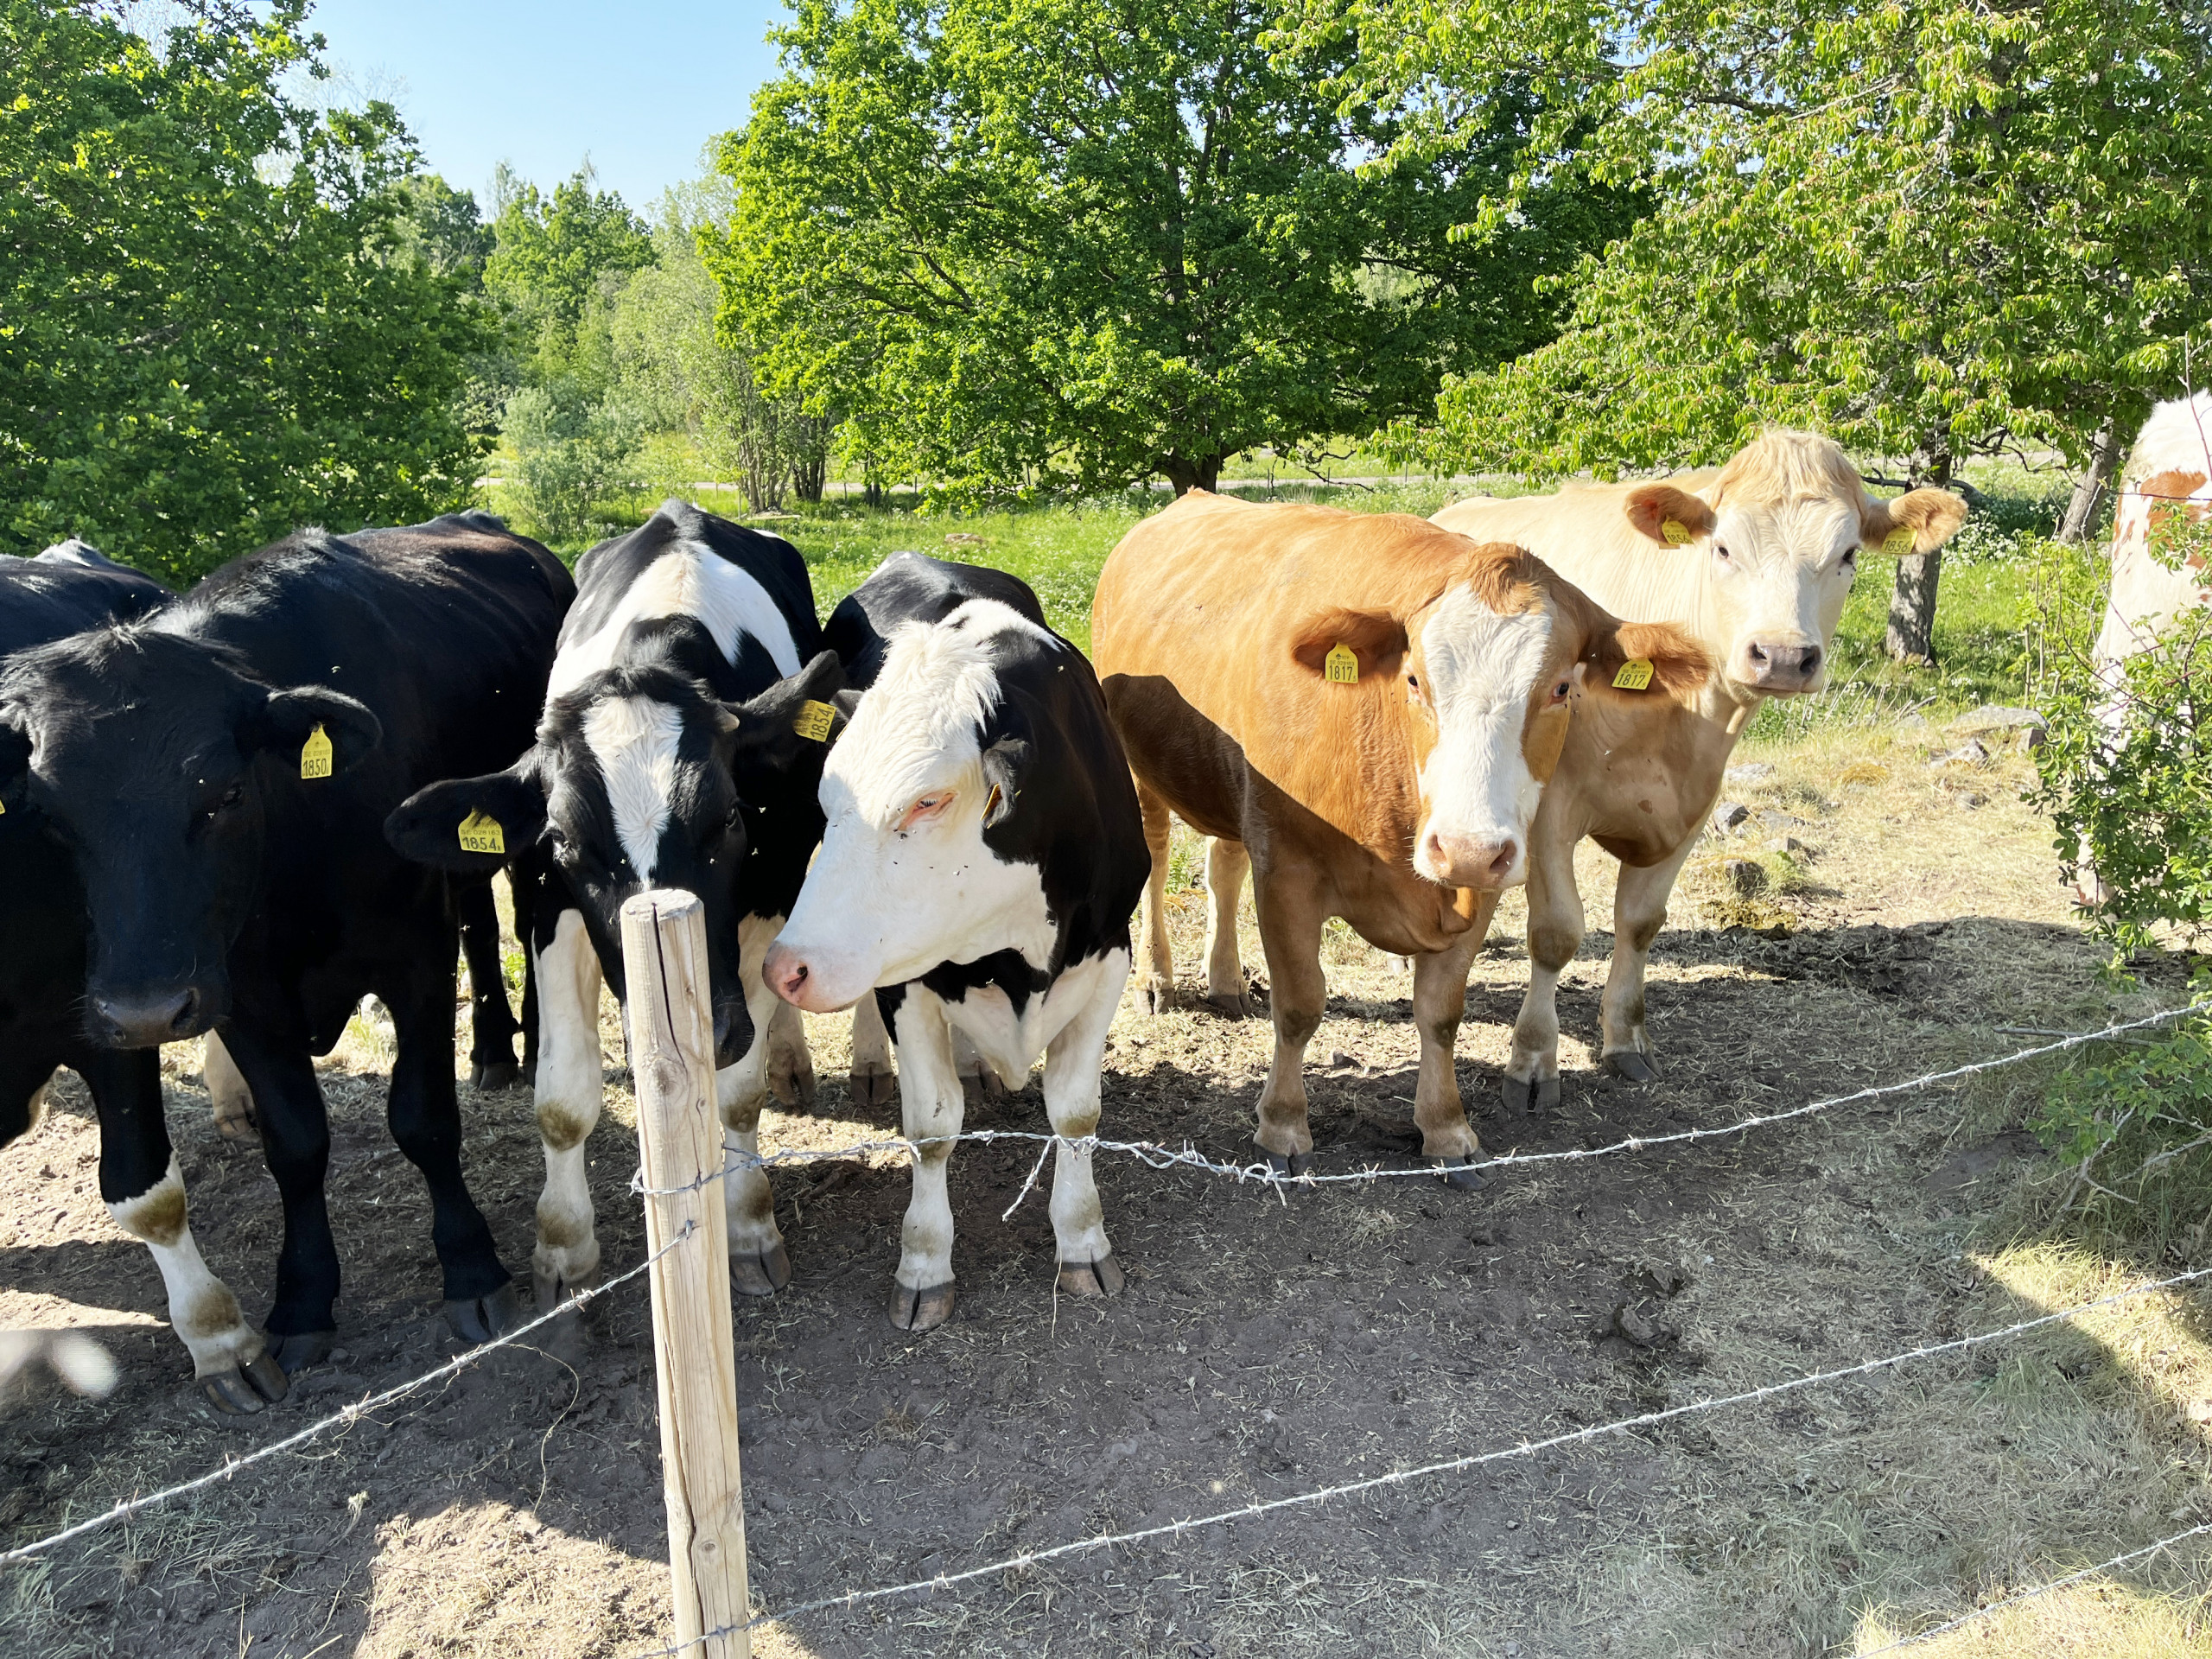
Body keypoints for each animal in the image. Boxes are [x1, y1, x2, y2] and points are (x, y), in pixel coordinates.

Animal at [0, 513, 573, 1413]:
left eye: (225, 794)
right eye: (51, 818)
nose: (141, 1013)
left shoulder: (414, 952)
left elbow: (423, 1120)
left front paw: (472, 1269)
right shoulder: (244, 994)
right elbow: (296, 1144)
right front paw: (302, 1301)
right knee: (483, 925)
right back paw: (489, 1051)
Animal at [386, 500, 845, 1312]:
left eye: (730, 820)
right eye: (565, 841)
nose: (708, 1028)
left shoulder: (766, 898)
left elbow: (738, 1091)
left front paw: (748, 1226)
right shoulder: (550, 908)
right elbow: (564, 1101)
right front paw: (564, 1252)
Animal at [761, 554, 1148, 1331]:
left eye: (928, 801)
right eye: (828, 800)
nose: (787, 966)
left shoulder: (1108, 954)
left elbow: (1077, 1113)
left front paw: (1083, 1241)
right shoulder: (904, 984)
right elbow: (933, 1126)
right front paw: (924, 1264)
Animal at [1092, 489, 1709, 1182]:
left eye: (1561, 688)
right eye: (1414, 679)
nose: (1466, 847)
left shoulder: (1476, 888)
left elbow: (1441, 1014)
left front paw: (1445, 1127)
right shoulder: (1287, 867)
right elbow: (1300, 1004)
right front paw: (1281, 1126)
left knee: (1224, 864)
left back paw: (1225, 981)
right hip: (1137, 762)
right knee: (1158, 855)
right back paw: (1156, 978)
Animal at [1426, 433, 1967, 1104]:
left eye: (1847, 555)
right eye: (1724, 548)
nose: (1782, 655)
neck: (1679, 714)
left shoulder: (1693, 805)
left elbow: (1639, 923)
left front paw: (1626, 1039)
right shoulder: (1548, 809)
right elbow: (1556, 932)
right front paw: (1533, 1060)